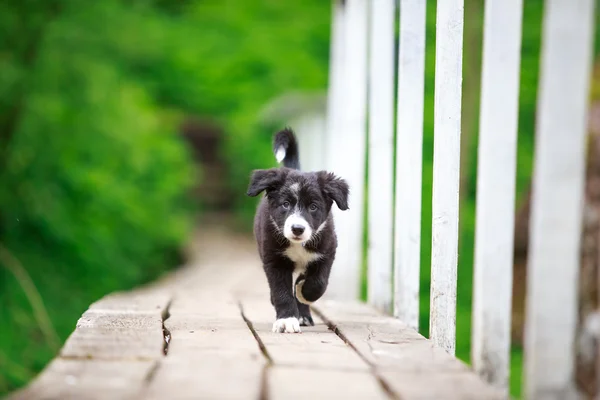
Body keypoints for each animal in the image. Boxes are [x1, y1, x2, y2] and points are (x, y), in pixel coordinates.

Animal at [246, 128, 350, 332]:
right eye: (285, 204)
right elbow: (281, 291)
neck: (298, 244)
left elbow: (319, 283)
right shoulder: (274, 260)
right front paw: (286, 320)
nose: (297, 229)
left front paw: (304, 292)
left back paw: (303, 313)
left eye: (313, 207)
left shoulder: (327, 252)